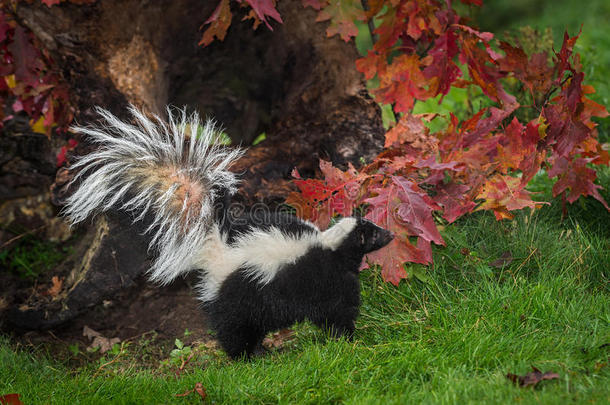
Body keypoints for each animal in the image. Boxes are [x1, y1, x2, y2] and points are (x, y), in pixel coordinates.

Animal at [64, 105, 392, 358]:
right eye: (374, 234)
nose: (391, 235)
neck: (330, 245)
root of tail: (215, 245)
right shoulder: (325, 279)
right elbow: (337, 310)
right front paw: (348, 338)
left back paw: (260, 351)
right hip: (238, 295)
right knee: (234, 329)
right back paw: (248, 356)